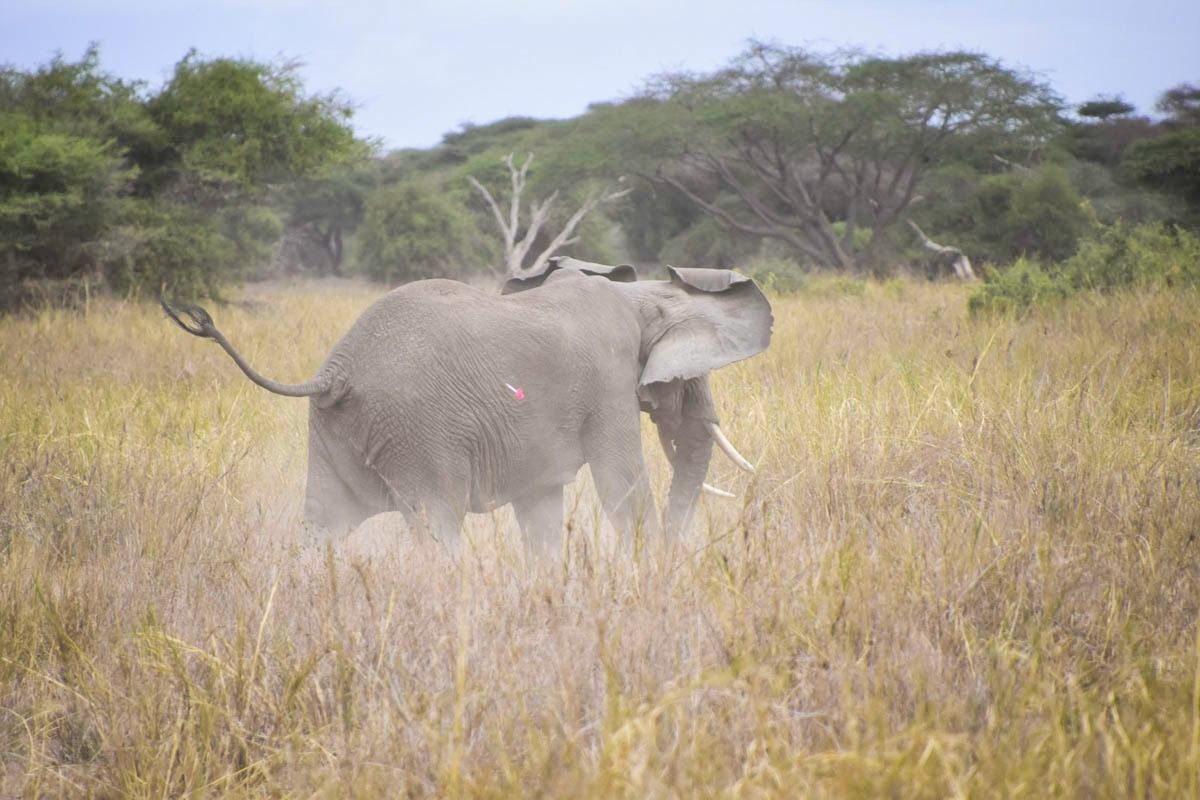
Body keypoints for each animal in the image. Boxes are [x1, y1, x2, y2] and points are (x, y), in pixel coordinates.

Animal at [161, 257, 773, 549]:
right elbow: (622, 486)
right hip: (418, 432)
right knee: (438, 526)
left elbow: (541, 510)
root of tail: (333, 373)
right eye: (686, 379)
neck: (639, 295)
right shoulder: (607, 384)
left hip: (336, 432)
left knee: (322, 527)